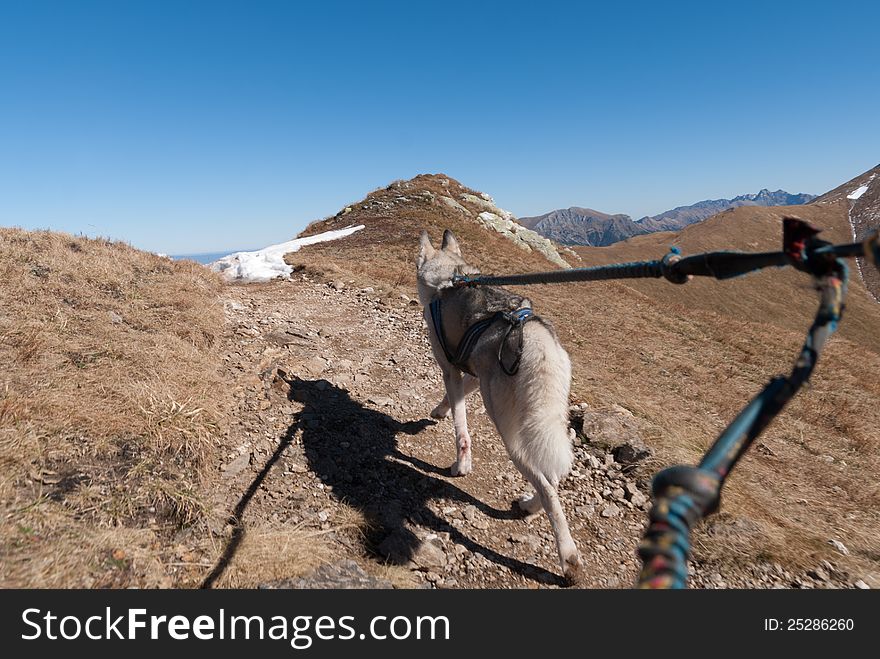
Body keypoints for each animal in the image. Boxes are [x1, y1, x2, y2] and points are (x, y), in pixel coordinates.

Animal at [416, 228, 580, 584]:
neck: (450, 277)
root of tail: (536, 340)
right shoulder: (473, 373)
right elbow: (455, 399)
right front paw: (438, 412)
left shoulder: (449, 367)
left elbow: (461, 426)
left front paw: (461, 465)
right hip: (544, 423)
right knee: (553, 477)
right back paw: (529, 505)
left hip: (507, 428)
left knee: (548, 487)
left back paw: (569, 559)